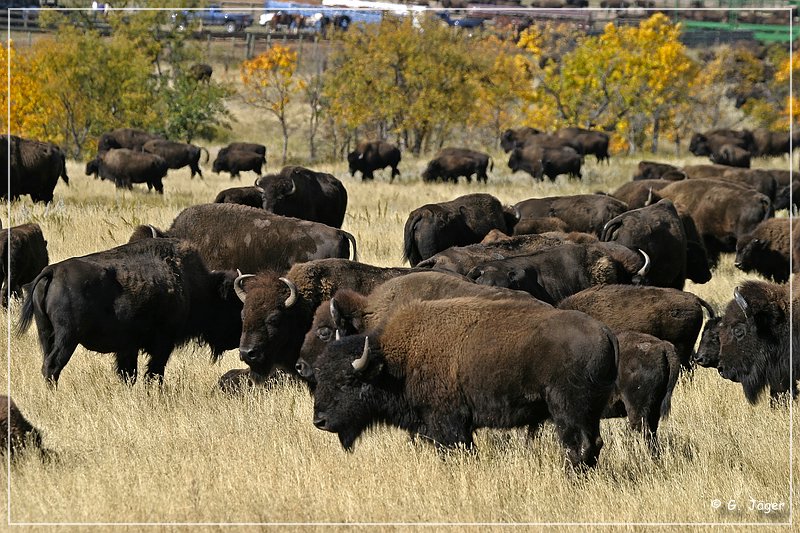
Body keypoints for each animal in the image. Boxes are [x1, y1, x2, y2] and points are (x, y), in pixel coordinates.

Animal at [310, 298, 616, 468]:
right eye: (320, 376)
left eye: (347, 381)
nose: (319, 421)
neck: (394, 361)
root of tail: (606, 333)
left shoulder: (449, 424)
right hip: (589, 413)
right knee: (593, 444)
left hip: (567, 410)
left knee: (577, 446)